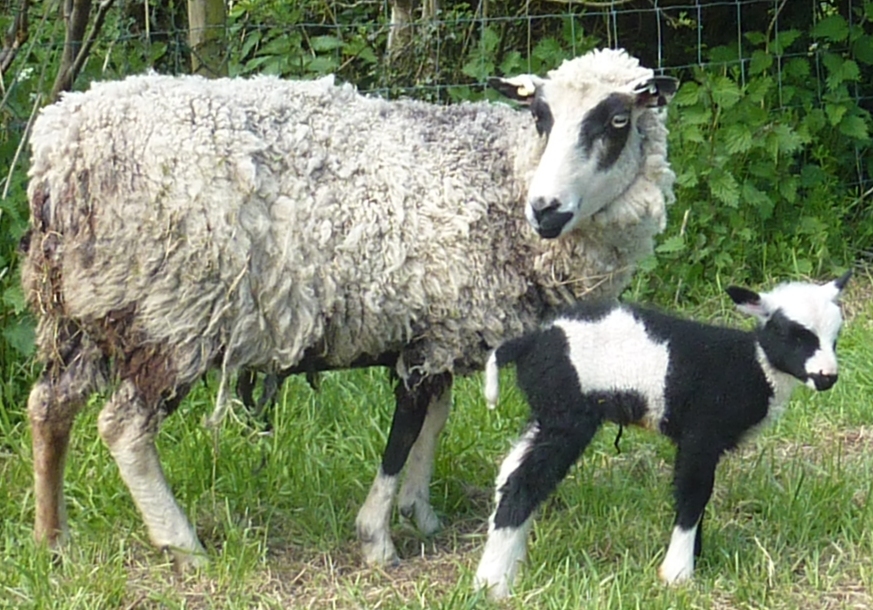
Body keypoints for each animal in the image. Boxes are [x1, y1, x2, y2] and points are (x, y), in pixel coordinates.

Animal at [18, 50, 676, 568]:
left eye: (617, 119)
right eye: (541, 115)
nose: (547, 209)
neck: (497, 176)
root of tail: (58, 150)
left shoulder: (440, 328)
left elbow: (433, 422)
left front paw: (420, 512)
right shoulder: (429, 332)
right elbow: (403, 434)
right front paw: (377, 540)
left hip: (87, 311)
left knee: (49, 406)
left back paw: (53, 540)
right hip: (169, 315)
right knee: (122, 428)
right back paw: (182, 544)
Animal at [474, 270, 848, 592]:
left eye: (835, 337)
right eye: (792, 334)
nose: (827, 377)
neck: (755, 366)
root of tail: (529, 342)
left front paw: (697, 558)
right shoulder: (701, 431)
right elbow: (693, 493)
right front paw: (678, 573)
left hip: (547, 411)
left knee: (510, 472)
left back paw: (507, 566)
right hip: (568, 414)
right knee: (525, 482)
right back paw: (494, 583)